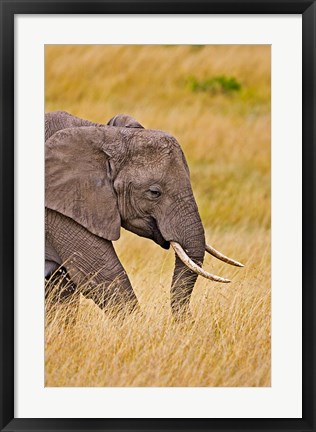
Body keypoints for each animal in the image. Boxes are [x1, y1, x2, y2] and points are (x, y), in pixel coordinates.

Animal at [44, 113, 243, 318]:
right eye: (154, 192)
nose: (189, 321)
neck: (102, 135)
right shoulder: (59, 208)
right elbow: (103, 275)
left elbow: (61, 288)